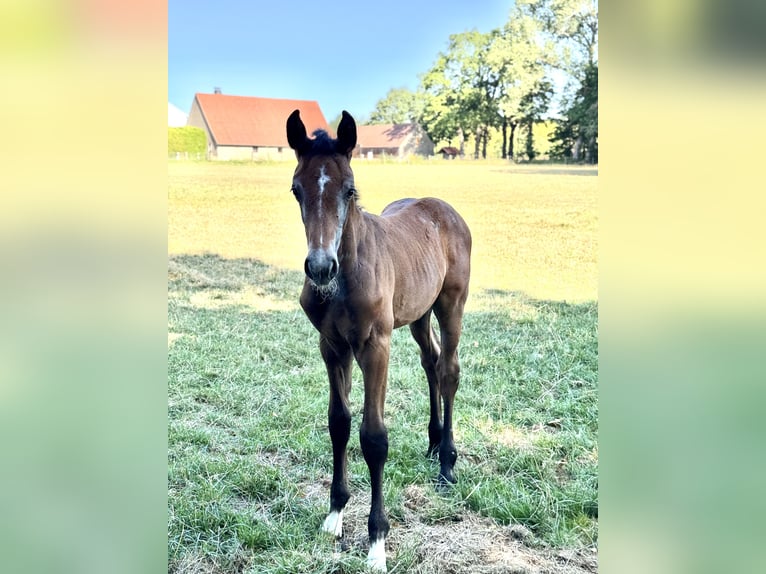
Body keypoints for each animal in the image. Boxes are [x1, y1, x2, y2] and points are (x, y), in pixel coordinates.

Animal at [286, 109, 472, 572]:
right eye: (296, 190)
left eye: (349, 189)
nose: (320, 267)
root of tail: (443, 208)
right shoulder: (332, 347)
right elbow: (339, 423)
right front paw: (334, 514)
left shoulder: (375, 346)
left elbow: (373, 437)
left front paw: (377, 542)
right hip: (418, 313)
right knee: (431, 362)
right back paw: (433, 441)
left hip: (451, 304)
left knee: (449, 369)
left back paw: (447, 463)